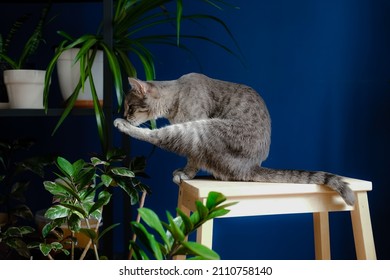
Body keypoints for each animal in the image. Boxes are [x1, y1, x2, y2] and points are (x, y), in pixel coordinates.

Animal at [114, 73, 354, 206]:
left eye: (130, 107)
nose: (124, 115)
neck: (175, 98)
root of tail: (251, 167)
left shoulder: (194, 128)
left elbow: (192, 158)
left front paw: (186, 173)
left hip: (203, 128)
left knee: (157, 136)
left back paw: (122, 126)